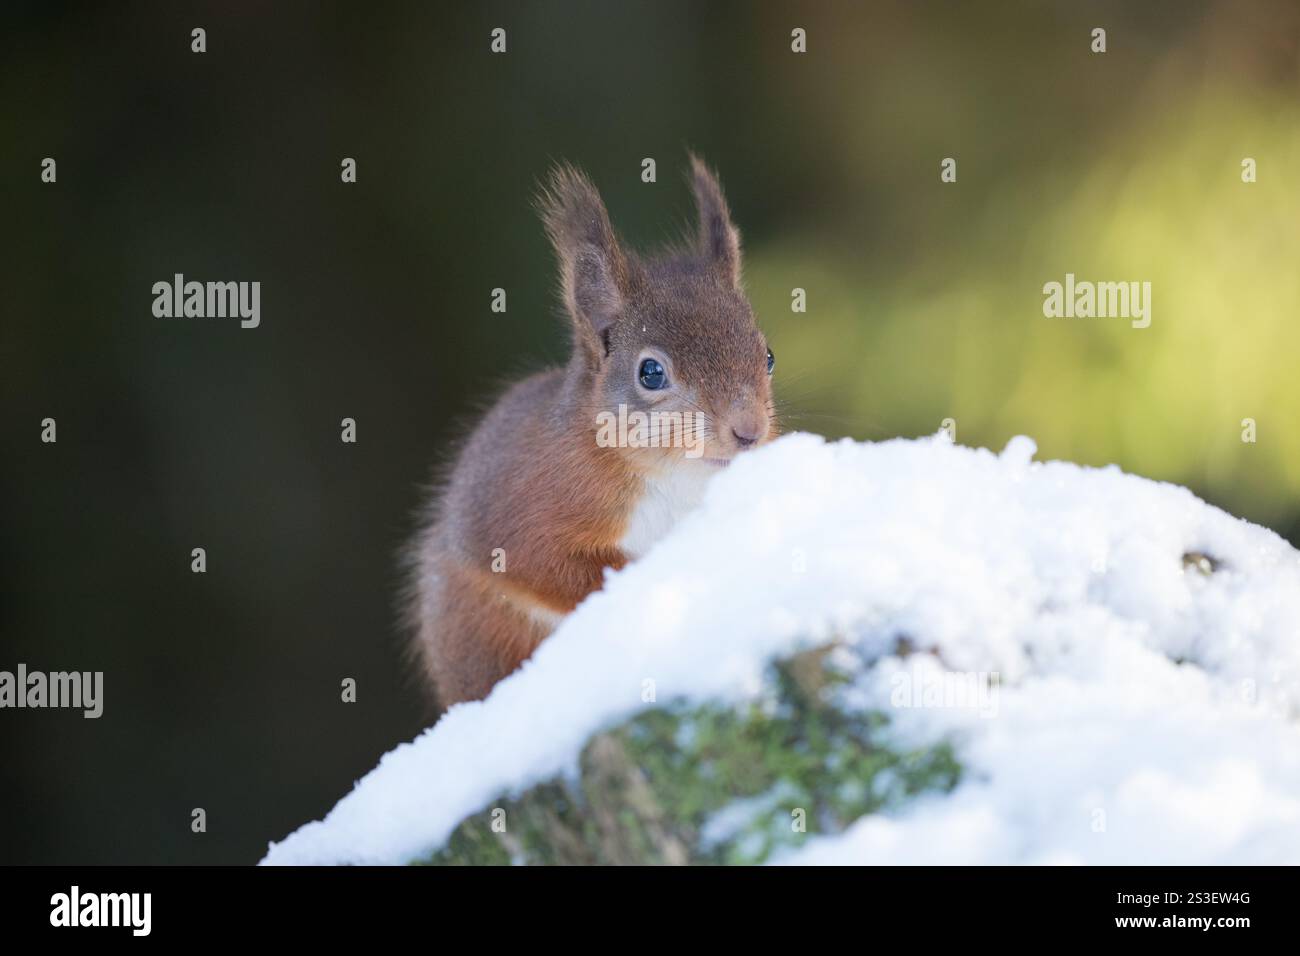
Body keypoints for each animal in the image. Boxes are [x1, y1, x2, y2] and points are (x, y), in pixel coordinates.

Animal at [407, 156, 776, 707]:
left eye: (767, 356)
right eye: (651, 373)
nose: (749, 430)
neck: (672, 476)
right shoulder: (525, 513)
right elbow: (542, 565)